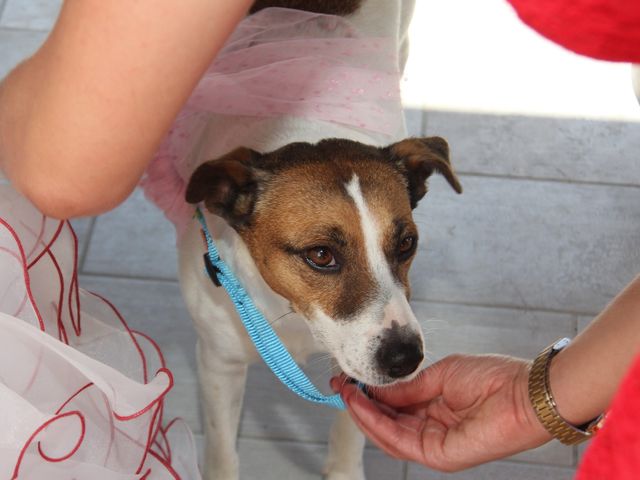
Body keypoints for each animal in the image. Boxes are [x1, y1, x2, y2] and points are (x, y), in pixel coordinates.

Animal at [165, 0, 460, 480]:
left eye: (406, 244)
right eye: (321, 255)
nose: (404, 359)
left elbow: (351, 428)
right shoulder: (219, 362)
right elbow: (222, 451)